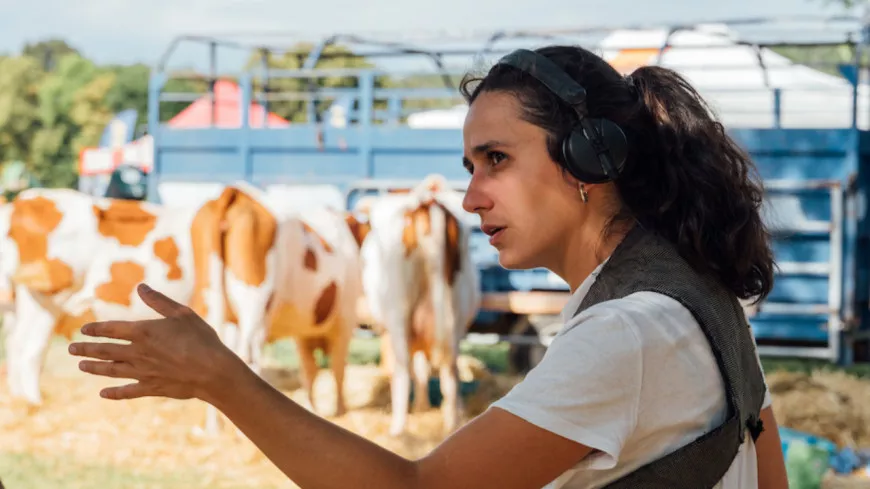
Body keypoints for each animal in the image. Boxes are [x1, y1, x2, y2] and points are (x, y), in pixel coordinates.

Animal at [358, 177, 488, 436]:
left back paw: (398, 429)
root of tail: (427, 202)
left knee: (401, 371)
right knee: (450, 372)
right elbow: (422, 368)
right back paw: (451, 424)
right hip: (454, 315)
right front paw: (422, 407)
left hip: (398, 313)